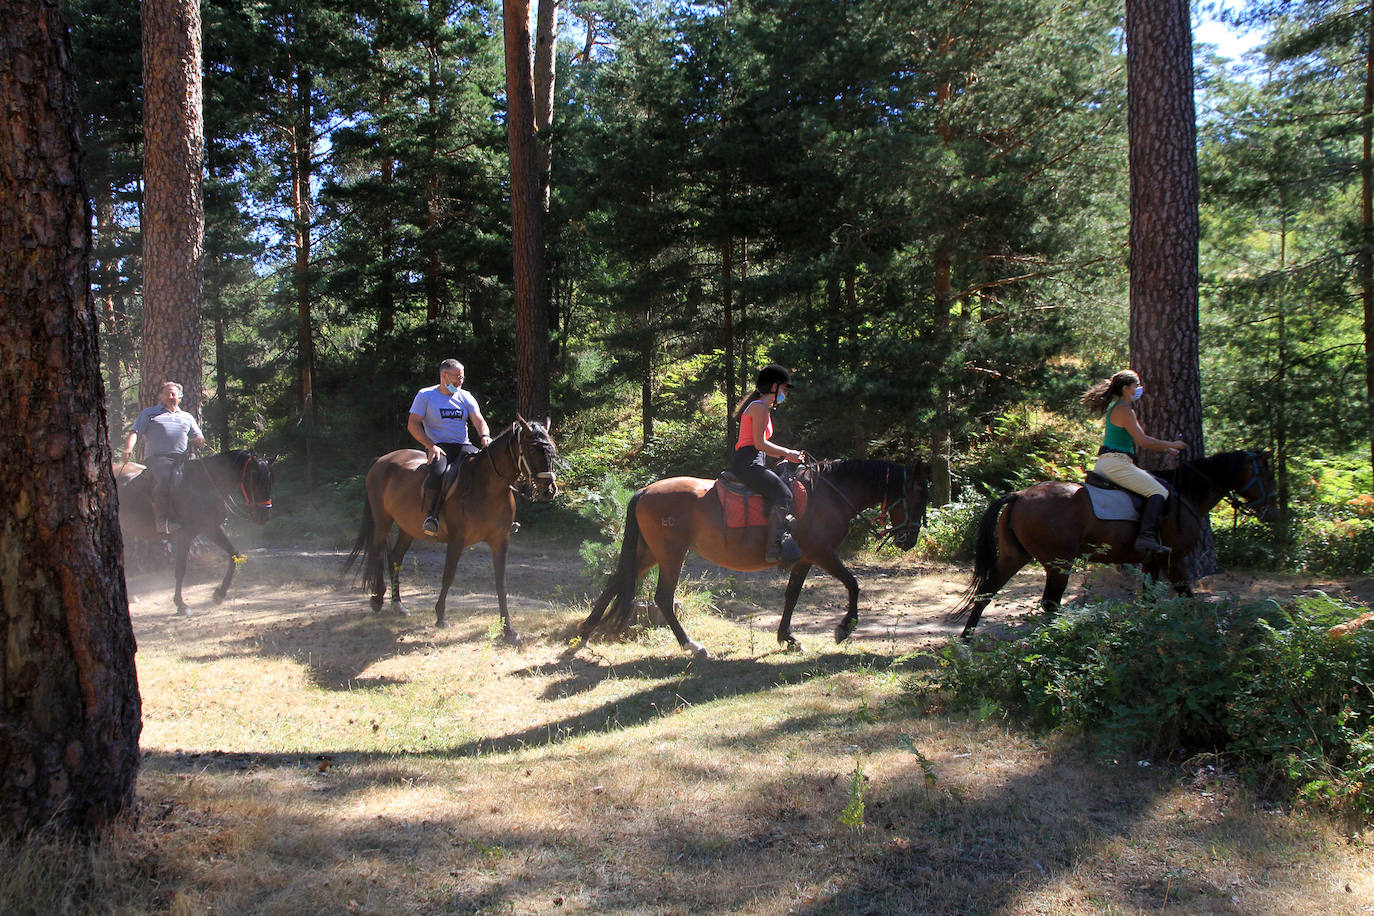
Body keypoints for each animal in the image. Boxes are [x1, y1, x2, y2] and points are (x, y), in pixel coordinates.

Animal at [120, 450, 276, 615]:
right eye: (256, 479)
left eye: (271, 480)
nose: (263, 517)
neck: (205, 484)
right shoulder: (185, 534)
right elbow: (181, 568)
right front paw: (181, 604)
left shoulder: (212, 528)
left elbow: (234, 554)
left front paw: (220, 594)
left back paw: (132, 596)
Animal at [343, 420, 557, 642]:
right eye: (532, 450)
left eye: (553, 450)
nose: (549, 490)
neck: (486, 486)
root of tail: (382, 460)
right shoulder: (457, 540)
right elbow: (448, 576)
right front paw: (441, 616)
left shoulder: (500, 541)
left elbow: (501, 583)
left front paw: (509, 631)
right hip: (383, 521)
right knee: (377, 553)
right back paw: (377, 599)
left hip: (407, 527)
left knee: (395, 557)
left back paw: (398, 605)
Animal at [574, 461, 928, 656]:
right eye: (920, 495)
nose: (909, 540)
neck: (827, 494)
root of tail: (645, 491)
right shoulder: (823, 553)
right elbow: (853, 584)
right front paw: (845, 628)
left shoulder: (804, 559)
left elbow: (792, 596)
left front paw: (787, 637)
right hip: (671, 554)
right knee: (662, 597)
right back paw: (691, 645)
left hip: (648, 551)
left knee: (616, 580)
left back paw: (585, 632)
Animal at [956, 450, 1275, 637]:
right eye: (1265, 473)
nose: (1270, 510)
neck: (1186, 494)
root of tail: (1019, 495)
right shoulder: (1173, 559)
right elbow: (1183, 596)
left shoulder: (1153, 561)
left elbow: (1156, 598)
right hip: (1059, 563)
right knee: (1049, 603)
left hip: (1016, 556)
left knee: (986, 594)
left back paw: (967, 642)